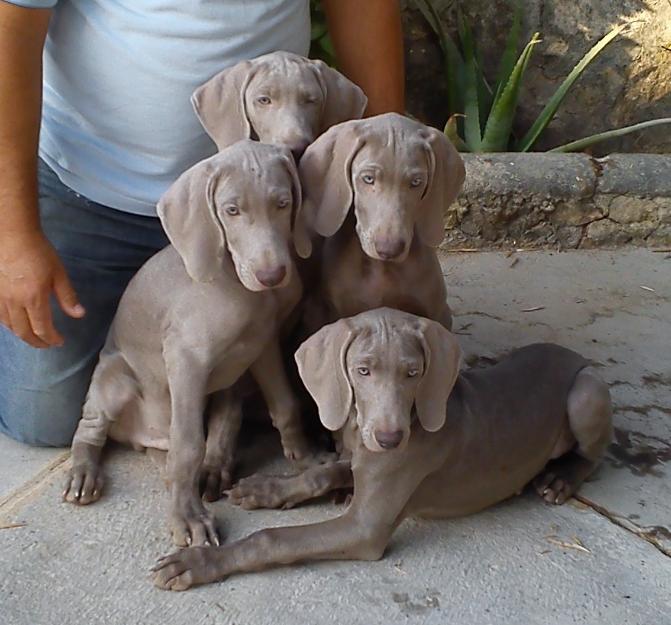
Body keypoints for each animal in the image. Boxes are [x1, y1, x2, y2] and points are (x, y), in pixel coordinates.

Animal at [62, 140, 316, 544]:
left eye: (283, 202)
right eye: (231, 210)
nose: (272, 275)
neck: (233, 279)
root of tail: (143, 436)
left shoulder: (262, 345)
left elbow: (285, 405)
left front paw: (306, 459)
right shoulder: (186, 360)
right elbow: (188, 445)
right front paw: (188, 518)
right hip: (115, 379)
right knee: (92, 428)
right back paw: (84, 472)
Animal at [152, 308, 616, 588]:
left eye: (414, 373)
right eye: (362, 371)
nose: (391, 440)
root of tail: (576, 355)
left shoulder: (365, 527)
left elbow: (273, 539)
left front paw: (199, 563)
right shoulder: (361, 459)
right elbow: (322, 472)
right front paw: (266, 488)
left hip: (587, 393)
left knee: (593, 455)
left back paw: (560, 478)